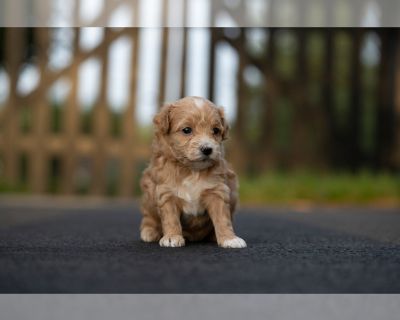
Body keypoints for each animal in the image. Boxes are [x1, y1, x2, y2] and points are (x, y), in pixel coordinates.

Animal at [141, 96, 247, 249]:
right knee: (148, 217)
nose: (207, 149)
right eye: (186, 130)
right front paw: (172, 237)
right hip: (148, 199)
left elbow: (223, 219)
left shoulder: (217, 191)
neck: (191, 170)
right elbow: (170, 218)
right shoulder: (166, 193)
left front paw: (229, 238)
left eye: (215, 130)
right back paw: (149, 232)